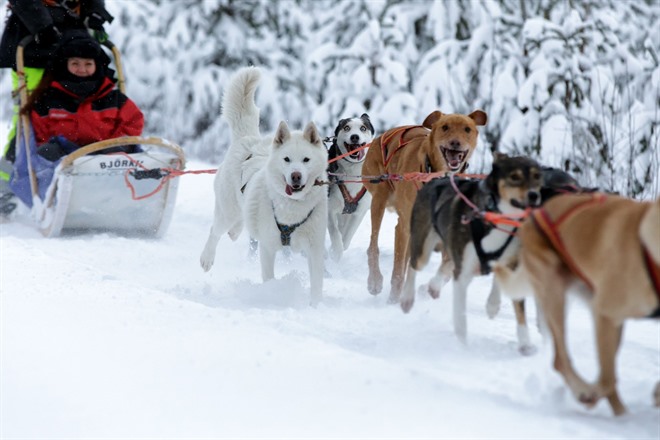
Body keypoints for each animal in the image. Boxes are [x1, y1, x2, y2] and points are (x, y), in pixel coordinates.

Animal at [326, 114, 374, 262]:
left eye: (363, 128)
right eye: (346, 128)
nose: (354, 137)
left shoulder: (359, 212)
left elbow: (347, 236)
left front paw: (340, 247)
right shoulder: (330, 208)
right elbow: (335, 233)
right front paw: (336, 251)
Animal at [358, 110, 488, 302]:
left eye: (467, 129)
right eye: (445, 127)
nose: (455, 143)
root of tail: (380, 136)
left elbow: (448, 268)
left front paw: (427, 289)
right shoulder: (404, 227)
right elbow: (398, 271)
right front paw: (393, 300)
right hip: (379, 197)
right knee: (373, 245)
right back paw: (375, 280)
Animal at [496, 193, 660, 416]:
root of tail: (535, 213)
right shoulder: (606, 314)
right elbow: (607, 380)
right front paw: (593, 396)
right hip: (554, 289)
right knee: (562, 360)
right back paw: (589, 394)